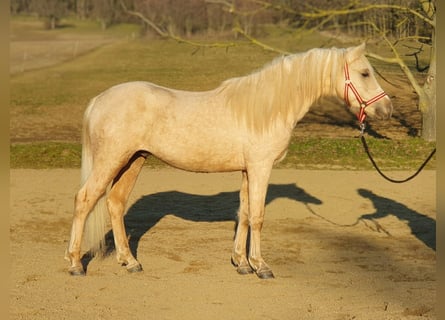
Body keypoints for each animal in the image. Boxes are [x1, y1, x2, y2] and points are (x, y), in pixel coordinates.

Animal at [64, 42, 390, 278]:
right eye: (364, 73)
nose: (386, 109)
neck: (266, 108)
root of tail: (99, 99)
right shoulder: (261, 167)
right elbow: (257, 216)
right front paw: (261, 266)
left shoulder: (248, 170)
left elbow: (243, 213)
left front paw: (241, 263)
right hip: (111, 160)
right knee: (85, 199)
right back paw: (76, 264)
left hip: (133, 160)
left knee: (115, 203)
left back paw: (130, 262)